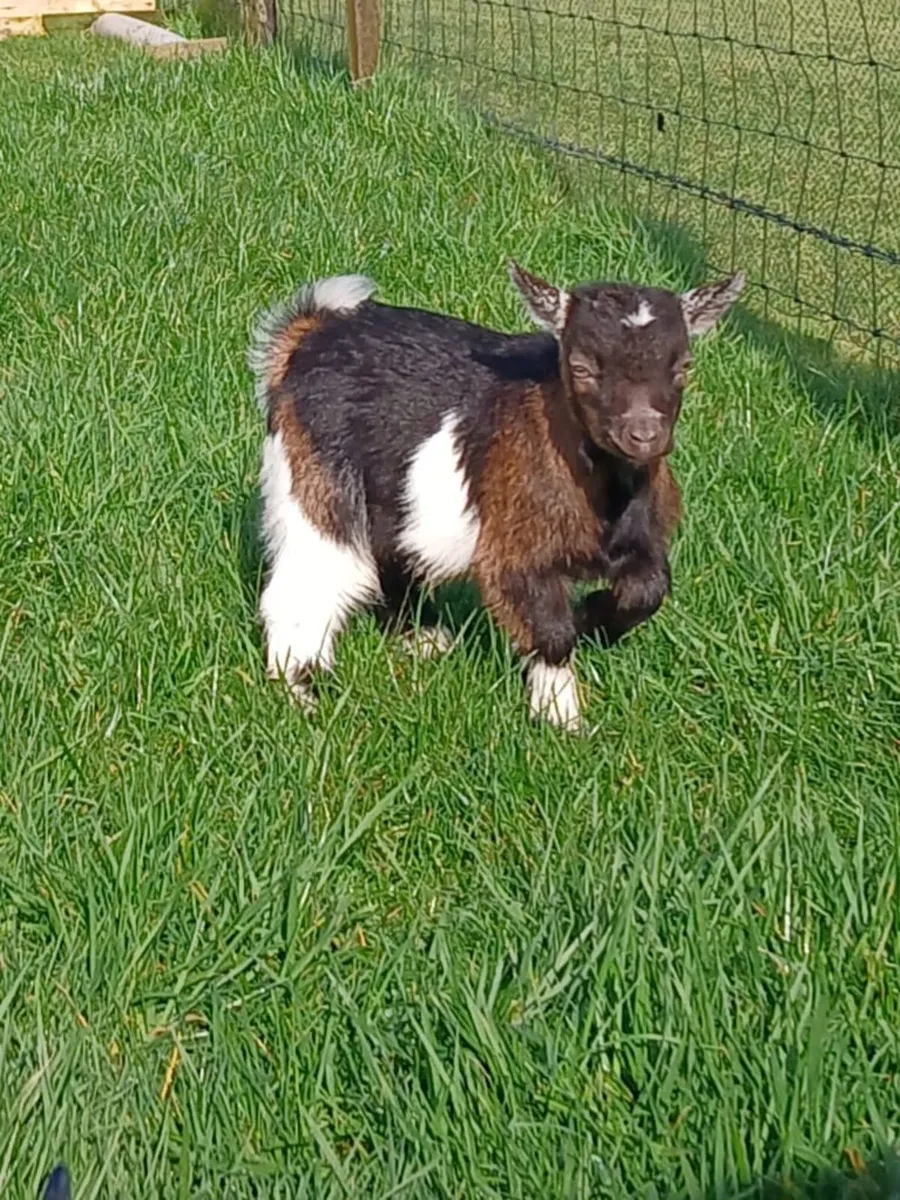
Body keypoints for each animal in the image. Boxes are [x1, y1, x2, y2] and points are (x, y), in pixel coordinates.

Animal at [249, 262, 743, 732]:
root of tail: (308, 334)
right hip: (316, 475)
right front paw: (562, 718)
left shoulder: (641, 535)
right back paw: (303, 689)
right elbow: (551, 629)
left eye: (683, 368)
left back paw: (422, 638)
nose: (643, 436)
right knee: (315, 575)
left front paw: (593, 620)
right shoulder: (516, 549)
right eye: (581, 367)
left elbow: (650, 588)